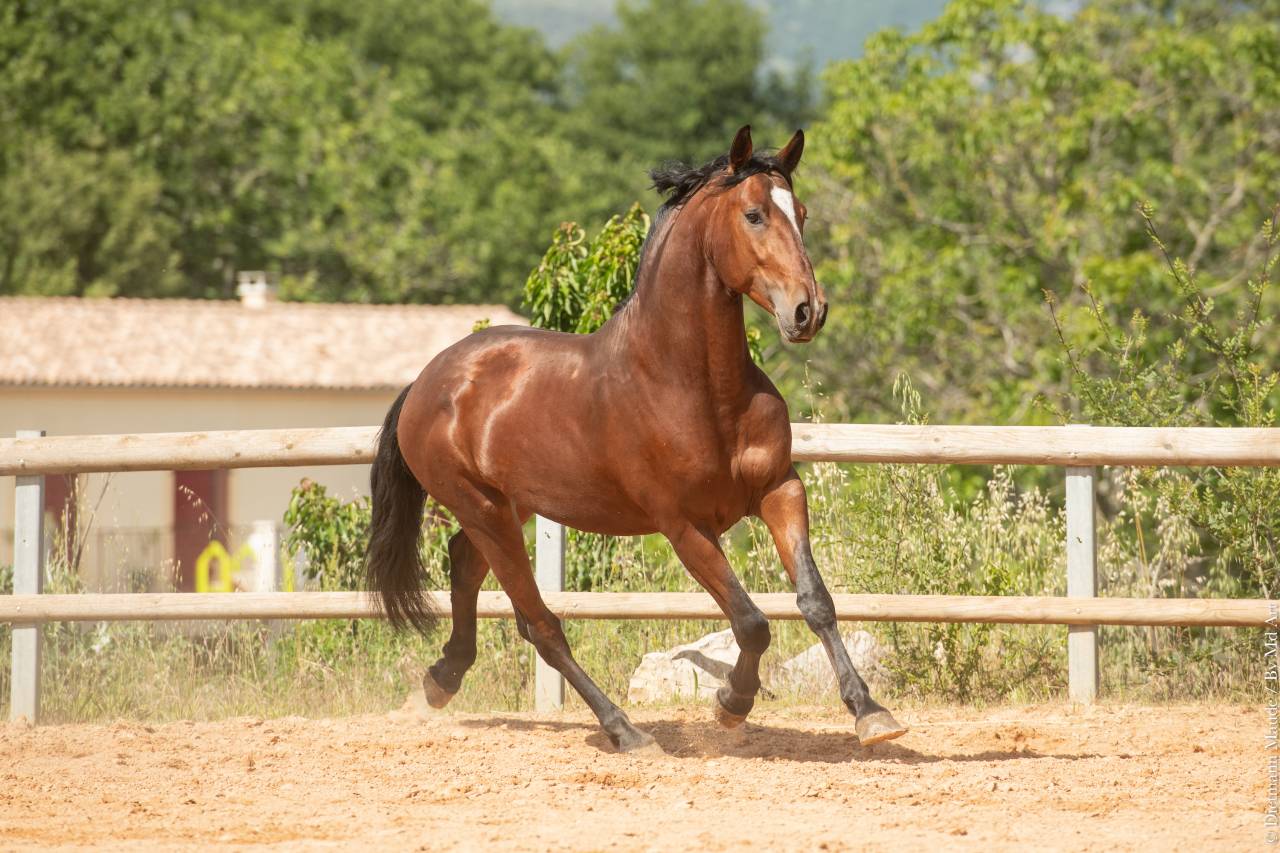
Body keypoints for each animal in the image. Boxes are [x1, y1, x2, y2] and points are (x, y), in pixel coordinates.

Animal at [367, 125, 906, 753]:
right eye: (753, 215)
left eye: (802, 214)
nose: (808, 311)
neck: (693, 387)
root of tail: (428, 380)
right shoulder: (683, 526)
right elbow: (751, 622)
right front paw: (731, 704)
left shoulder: (780, 491)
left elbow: (816, 601)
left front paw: (871, 712)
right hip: (483, 510)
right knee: (540, 624)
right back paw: (624, 729)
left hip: (505, 508)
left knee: (465, 566)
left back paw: (440, 681)